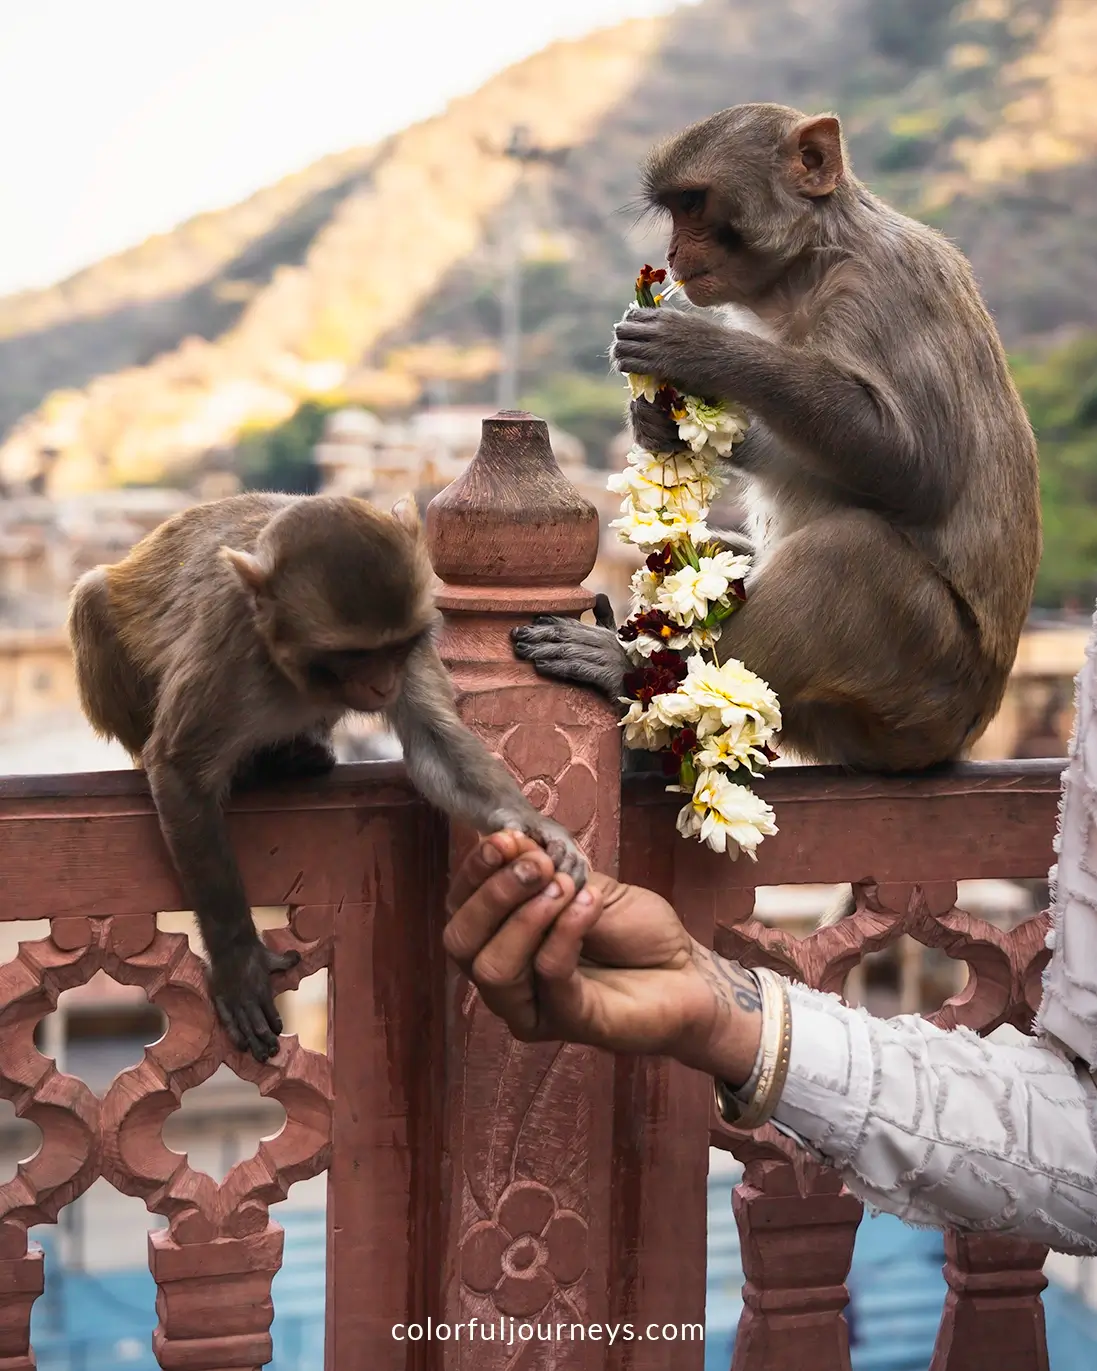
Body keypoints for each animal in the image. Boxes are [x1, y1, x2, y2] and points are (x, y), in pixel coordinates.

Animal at [68, 492, 586, 1062]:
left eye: (395, 649)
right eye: (353, 655)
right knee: (93, 600)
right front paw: (239, 959)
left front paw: (537, 828)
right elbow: (180, 770)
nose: (382, 685)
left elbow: (437, 745)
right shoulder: (232, 645)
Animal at [514, 103, 1041, 777]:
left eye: (693, 203)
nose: (673, 249)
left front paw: (699, 349)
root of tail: (967, 733)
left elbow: (917, 467)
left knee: (851, 555)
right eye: (675, 210)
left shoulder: (888, 287)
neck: (808, 269)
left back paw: (627, 671)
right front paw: (659, 421)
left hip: (928, 689)